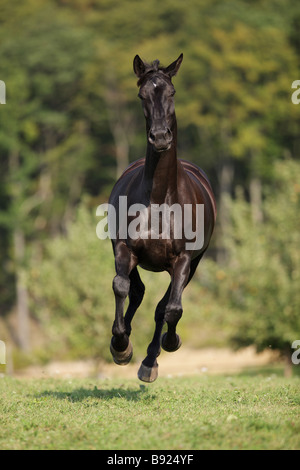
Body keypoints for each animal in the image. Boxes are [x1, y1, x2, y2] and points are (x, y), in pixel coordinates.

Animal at [108, 54, 216, 382]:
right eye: (142, 95)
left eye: (172, 92)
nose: (159, 137)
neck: (159, 200)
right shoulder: (124, 249)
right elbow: (121, 287)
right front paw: (120, 346)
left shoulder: (184, 260)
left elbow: (172, 309)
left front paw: (167, 345)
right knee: (137, 292)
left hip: (194, 263)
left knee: (162, 305)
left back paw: (151, 359)